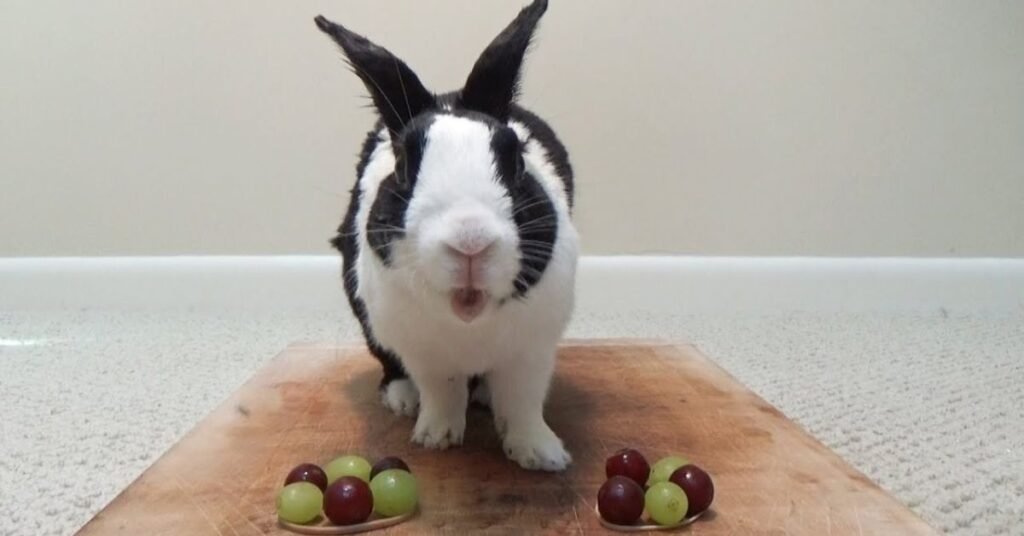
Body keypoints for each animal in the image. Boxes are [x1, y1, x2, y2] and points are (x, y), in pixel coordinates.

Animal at [315, 0, 576, 472]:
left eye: (516, 160)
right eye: (403, 166)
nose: (470, 241)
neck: (468, 320)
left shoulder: (532, 351)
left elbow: (523, 402)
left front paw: (542, 455)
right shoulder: (425, 353)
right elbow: (443, 390)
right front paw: (436, 437)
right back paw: (403, 400)